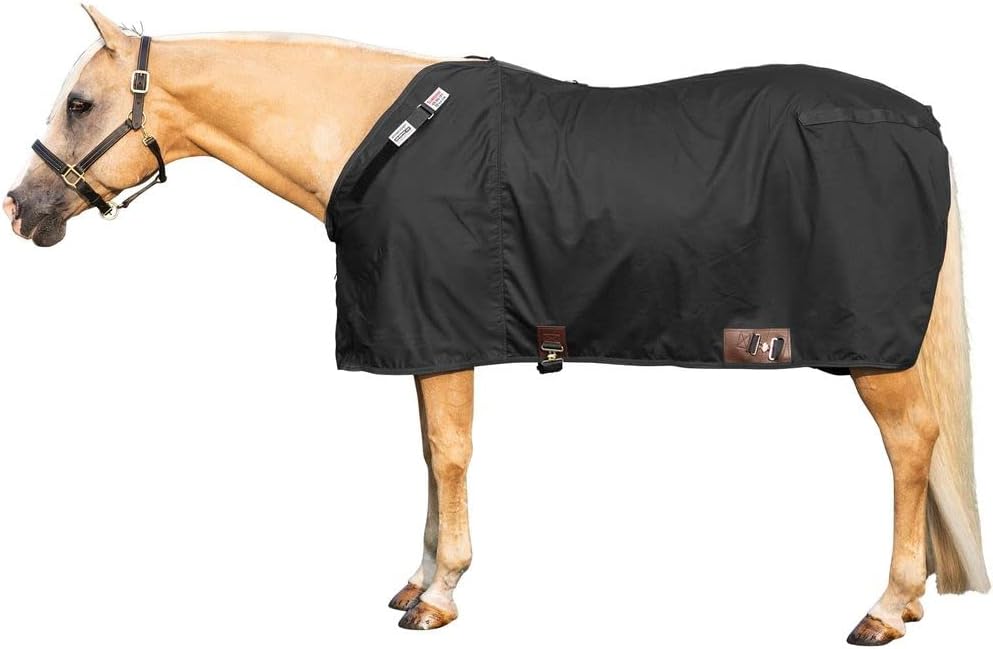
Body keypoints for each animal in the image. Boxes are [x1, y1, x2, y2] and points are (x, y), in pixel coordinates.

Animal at [3, 6, 987, 645]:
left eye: (80, 105)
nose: (22, 208)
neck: (384, 139)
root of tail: (917, 120)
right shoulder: (419, 338)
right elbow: (424, 454)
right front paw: (414, 577)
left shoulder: (445, 338)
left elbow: (448, 454)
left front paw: (439, 594)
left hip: (874, 357)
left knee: (908, 446)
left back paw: (885, 606)